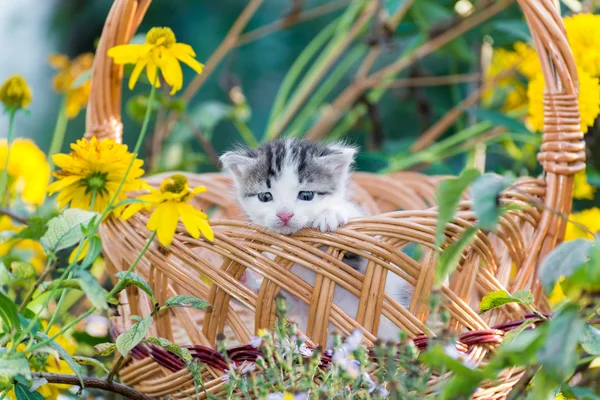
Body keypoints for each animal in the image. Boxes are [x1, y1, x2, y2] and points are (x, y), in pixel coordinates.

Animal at [220, 139, 412, 342]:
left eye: (306, 195)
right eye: (265, 196)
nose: (284, 215)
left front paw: (331, 213)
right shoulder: (297, 298)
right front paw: (241, 280)